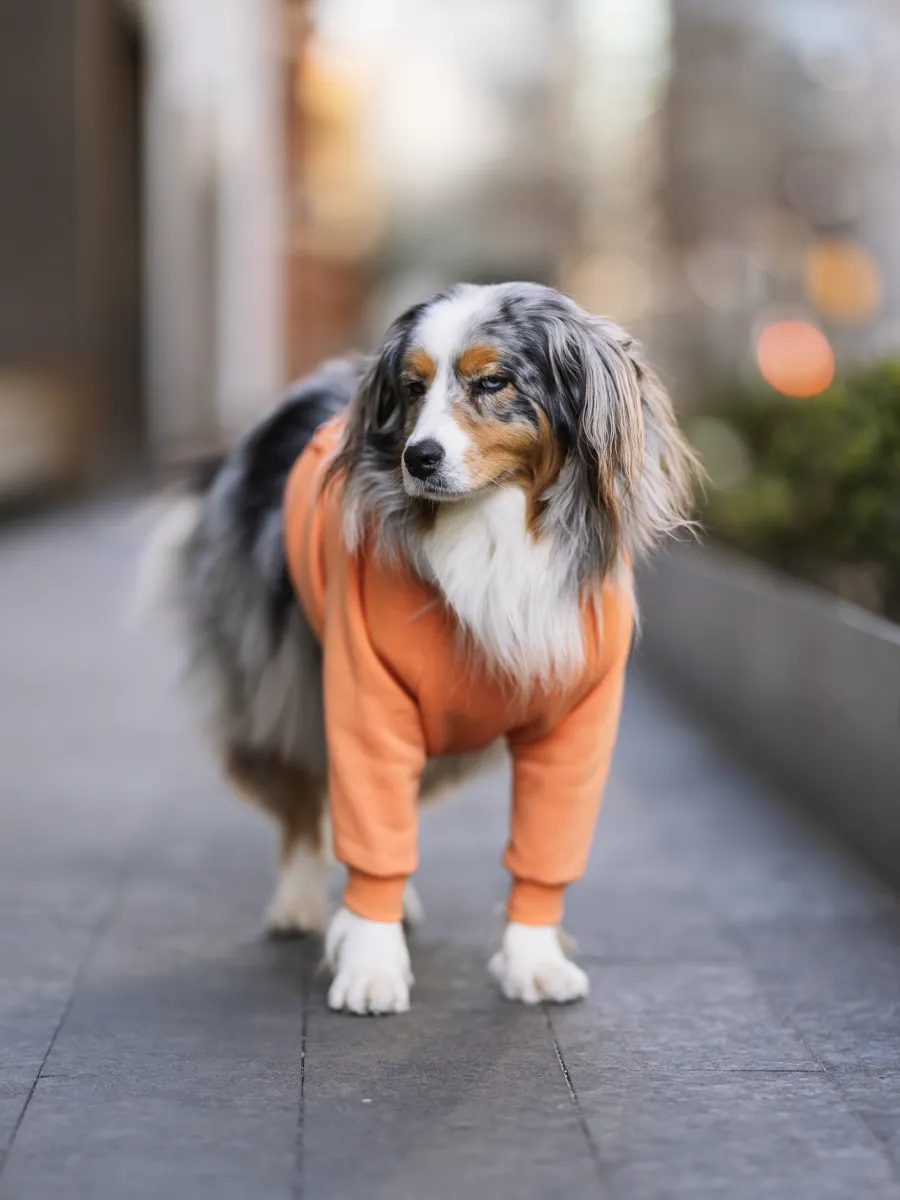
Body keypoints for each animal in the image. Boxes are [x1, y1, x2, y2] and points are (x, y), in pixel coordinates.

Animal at [146, 280, 696, 1012]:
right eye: (412, 388)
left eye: (491, 381)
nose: (418, 457)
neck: (492, 531)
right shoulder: (365, 692)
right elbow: (369, 823)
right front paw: (371, 964)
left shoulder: (578, 719)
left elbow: (544, 847)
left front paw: (534, 959)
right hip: (282, 673)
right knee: (304, 790)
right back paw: (301, 902)